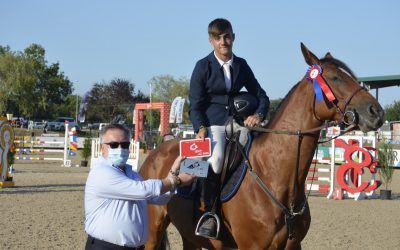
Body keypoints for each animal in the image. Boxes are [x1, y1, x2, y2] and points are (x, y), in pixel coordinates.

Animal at [138, 44, 384, 249]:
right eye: (335, 77)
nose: (376, 112)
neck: (275, 177)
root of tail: (155, 153)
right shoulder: (252, 246)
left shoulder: (293, 245)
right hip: (153, 232)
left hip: (190, 237)